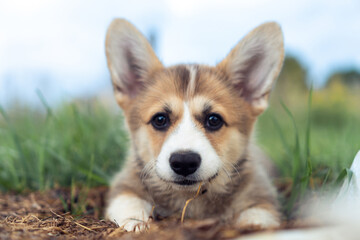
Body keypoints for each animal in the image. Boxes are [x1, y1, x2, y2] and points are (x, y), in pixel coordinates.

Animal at [103, 18, 284, 232]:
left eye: (214, 120)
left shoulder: (261, 194)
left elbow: (258, 216)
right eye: (160, 119)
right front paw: (136, 224)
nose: (184, 162)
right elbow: (129, 203)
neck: (189, 198)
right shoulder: (124, 185)